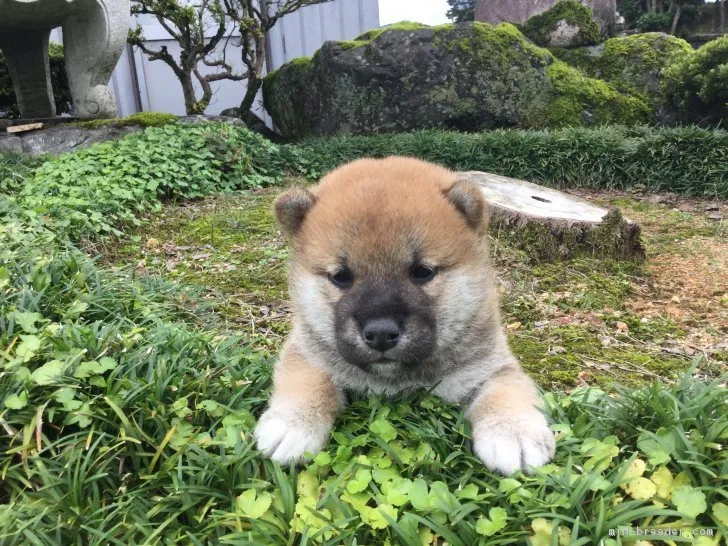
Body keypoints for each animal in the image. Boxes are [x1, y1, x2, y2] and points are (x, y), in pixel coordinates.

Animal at [253, 156, 556, 472]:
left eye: (422, 272)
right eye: (341, 277)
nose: (380, 334)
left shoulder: (489, 365)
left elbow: (506, 390)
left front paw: (514, 430)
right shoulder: (307, 350)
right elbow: (308, 380)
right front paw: (293, 423)